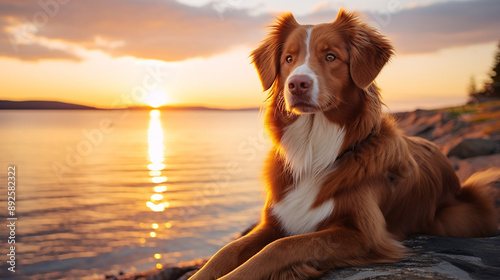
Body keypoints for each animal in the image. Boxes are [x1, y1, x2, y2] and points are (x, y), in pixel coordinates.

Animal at [189, 8, 498, 280]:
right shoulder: (275, 220)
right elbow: (226, 252)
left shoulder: (365, 235)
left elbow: (279, 248)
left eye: (330, 56)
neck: (314, 152)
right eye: (288, 58)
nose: (297, 84)